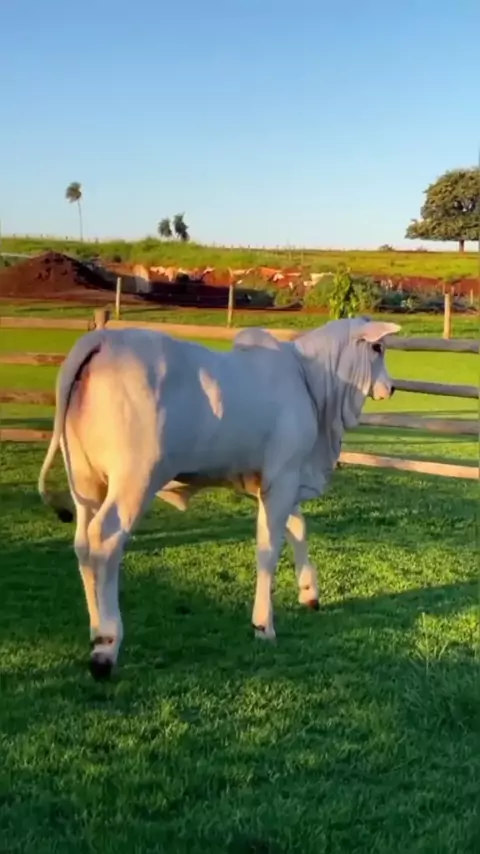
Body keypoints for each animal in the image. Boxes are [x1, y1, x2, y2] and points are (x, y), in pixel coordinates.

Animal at [38, 317, 400, 680]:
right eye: (377, 347)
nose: (392, 387)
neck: (310, 379)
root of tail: (102, 340)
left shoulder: (271, 479)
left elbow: (298, 527)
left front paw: (309, 593)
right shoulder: (283, 476)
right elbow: (269, 548)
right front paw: (263, 624)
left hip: (86, 482)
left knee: (83, 545)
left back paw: (95, 626)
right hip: (133, 481)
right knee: (106, 541)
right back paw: (106, 645)